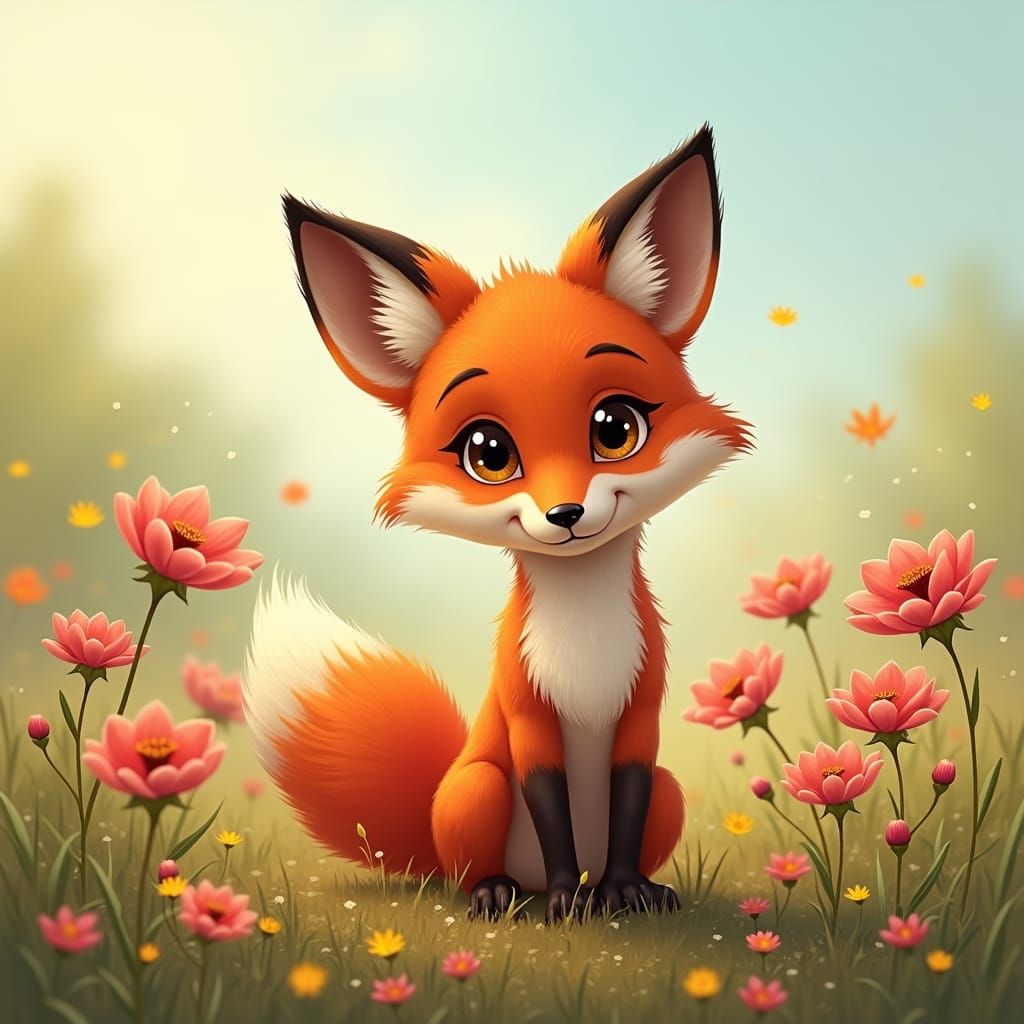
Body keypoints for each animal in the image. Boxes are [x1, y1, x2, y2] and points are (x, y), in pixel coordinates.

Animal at [243, 123, 752, 924]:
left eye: (615, 428)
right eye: (489, 453)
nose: (566, 514)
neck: (585, 644)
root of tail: (427, 832)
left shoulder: (641, 718)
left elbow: (629, 801)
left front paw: (624, 893)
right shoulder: (526, 715)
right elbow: (549, 804)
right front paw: (574, 903)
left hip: (670, 792)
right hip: (478, 785)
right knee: (472, 868)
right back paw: (502, 893)